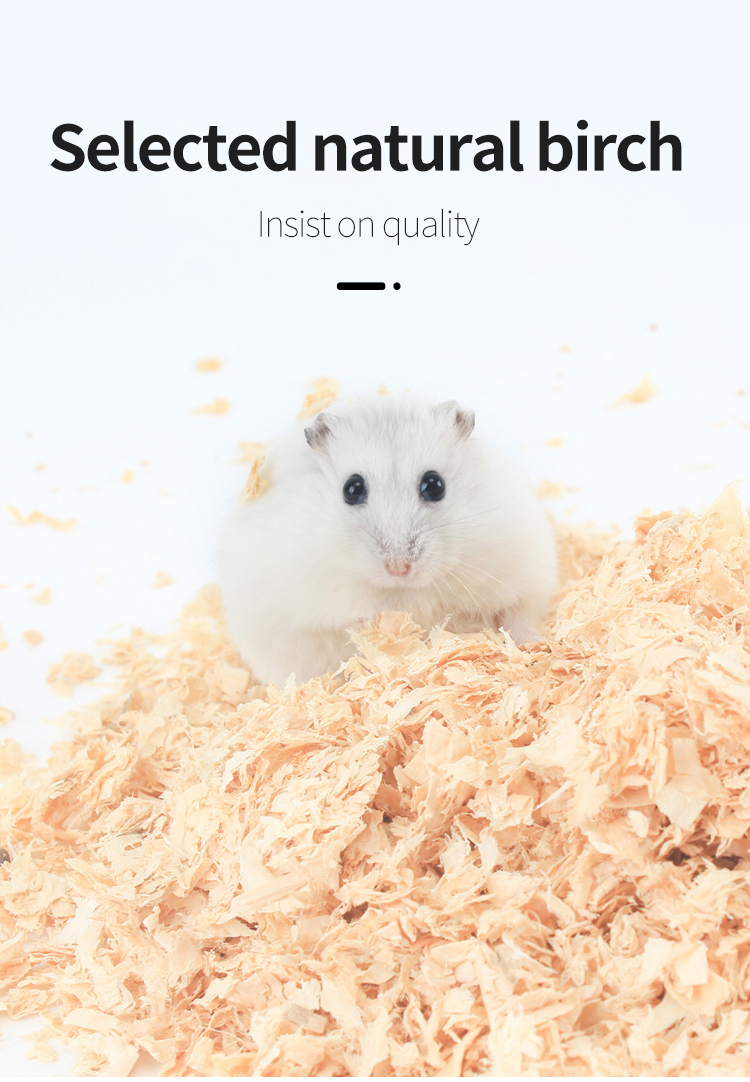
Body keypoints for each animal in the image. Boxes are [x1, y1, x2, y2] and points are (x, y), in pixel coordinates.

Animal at [217, 395, 558, 685]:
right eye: (352, 489)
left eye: (434, 485)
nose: (399, 569)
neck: (404, 591)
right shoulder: (310, 596)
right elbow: (343, 620)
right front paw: (381, 631)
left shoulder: (522, 565)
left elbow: (515, 610)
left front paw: (534, 645)